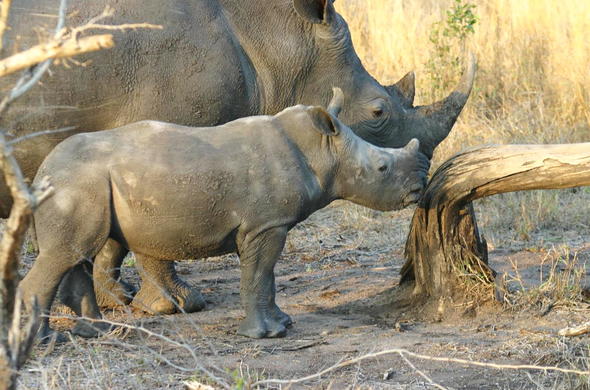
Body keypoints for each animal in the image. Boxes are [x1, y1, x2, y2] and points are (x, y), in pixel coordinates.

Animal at [2, 0, 476, 314]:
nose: (422, 177)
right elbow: (153, 228)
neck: (274, 44)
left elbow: (121, 231)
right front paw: (178, 304)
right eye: (378, 113)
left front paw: (120, 300)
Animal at [22, 90, 430, 340]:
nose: (419, 187)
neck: (320, 150)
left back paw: (95, 332)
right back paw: (46, 342)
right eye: (381, 168)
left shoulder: (267, 224)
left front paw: (282, 323)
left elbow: (266, 277)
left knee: (75, 254)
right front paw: (268, 335)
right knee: (64, 255)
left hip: (82, 183)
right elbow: (259, 275)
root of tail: (43, 170)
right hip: (76, 183)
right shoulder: (266, 224)